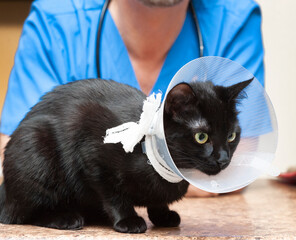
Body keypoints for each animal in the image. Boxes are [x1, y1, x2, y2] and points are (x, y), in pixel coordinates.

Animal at [0, 78, 251, 232]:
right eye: (201, 137)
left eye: (231, 135)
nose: (223, 158)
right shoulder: (91, 154)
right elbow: (113, 195)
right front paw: (127, 220)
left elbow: (157, 199)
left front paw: (162, 215)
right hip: (35, 148)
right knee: (22, 212)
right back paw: (64, 217)